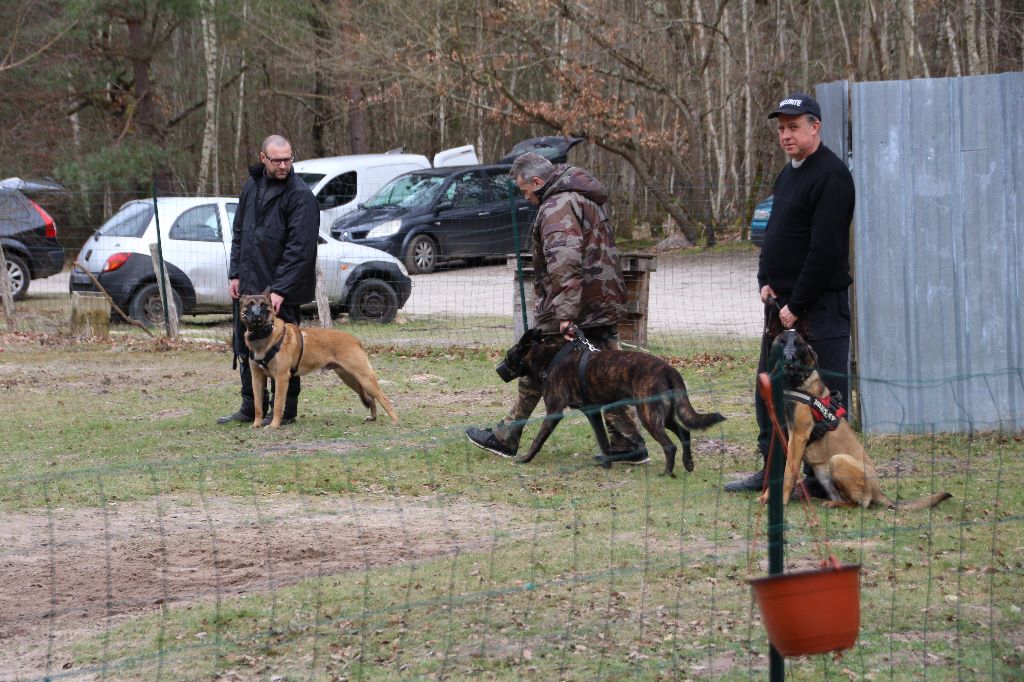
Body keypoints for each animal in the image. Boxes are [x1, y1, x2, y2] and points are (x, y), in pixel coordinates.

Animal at [239, 288, 399, 428]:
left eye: (264, 305)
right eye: (250, 305)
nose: (257, 316)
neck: (263, 336)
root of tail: (355, 339)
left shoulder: (281, 378)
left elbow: (278, 404)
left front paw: (274, 425)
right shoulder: (257, 379)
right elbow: (258, 405)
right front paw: (257, 424)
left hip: (364, 377)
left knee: (383, 398)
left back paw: (394, 420)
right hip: (351, 379)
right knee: (371, 398)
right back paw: (373, 417)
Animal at [497, 327, 724, 475]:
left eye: (508, 357)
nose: (497, 369)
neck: (550, 360)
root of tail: (668, 369)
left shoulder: (554, 412)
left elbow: (537, 440)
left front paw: (525, 459)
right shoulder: (593, 413)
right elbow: (603, 441)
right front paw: (607, 464)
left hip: (648, 415)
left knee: (670, 445)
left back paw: (667, 473)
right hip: (663, 414)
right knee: (685, 433)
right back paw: (688, 463)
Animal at [761, 327, 950, 507]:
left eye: (798, 343)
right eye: (782, 341)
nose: (789, 358)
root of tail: (878, 492)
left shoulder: (799, 435)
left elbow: (788, 472)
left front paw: (781, 500)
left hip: (838, 460)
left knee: (859, 504)